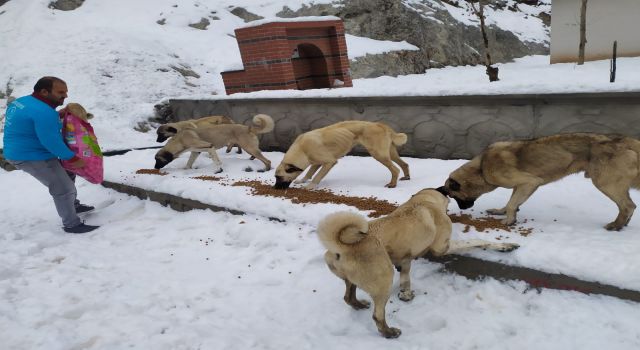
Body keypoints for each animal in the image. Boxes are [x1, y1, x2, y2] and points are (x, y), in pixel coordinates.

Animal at [272, 121, 408, 190]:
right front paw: (302, 180)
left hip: (379, 154)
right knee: (404, 164)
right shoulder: (316, 163)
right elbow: (309, 173)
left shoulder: (329, 162)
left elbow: (317, 176)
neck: (301, 148)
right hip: (390, 153)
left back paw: (392, 184)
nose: (274, 188)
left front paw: (310, 186)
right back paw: (407, 177)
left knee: (395, 169)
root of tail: (383, 125)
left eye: (279, 178)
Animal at [318, 189, 516, 340]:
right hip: (383, 280)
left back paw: (359, 305)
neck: (422, 201)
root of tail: (340, 246)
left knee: (348, 297)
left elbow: (405, 274)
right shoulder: (442, 247)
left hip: (352, 280)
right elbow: (477, 241)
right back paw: (389, 333)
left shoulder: (405, 256)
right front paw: (504, 246)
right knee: (377, 315)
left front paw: (406, 292)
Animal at [442, 133, 640, 231]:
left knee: (628, 205)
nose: (463, 208)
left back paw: (616, 225)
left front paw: (509, 220)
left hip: (605, 183)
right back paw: (623, 224)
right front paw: (502, 212)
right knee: (628, 205)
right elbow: (511, 202)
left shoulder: (529, 182)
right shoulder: (521, 186)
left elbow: (513, 203)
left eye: (455, 196)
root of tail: (624, 141)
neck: (481, 167)